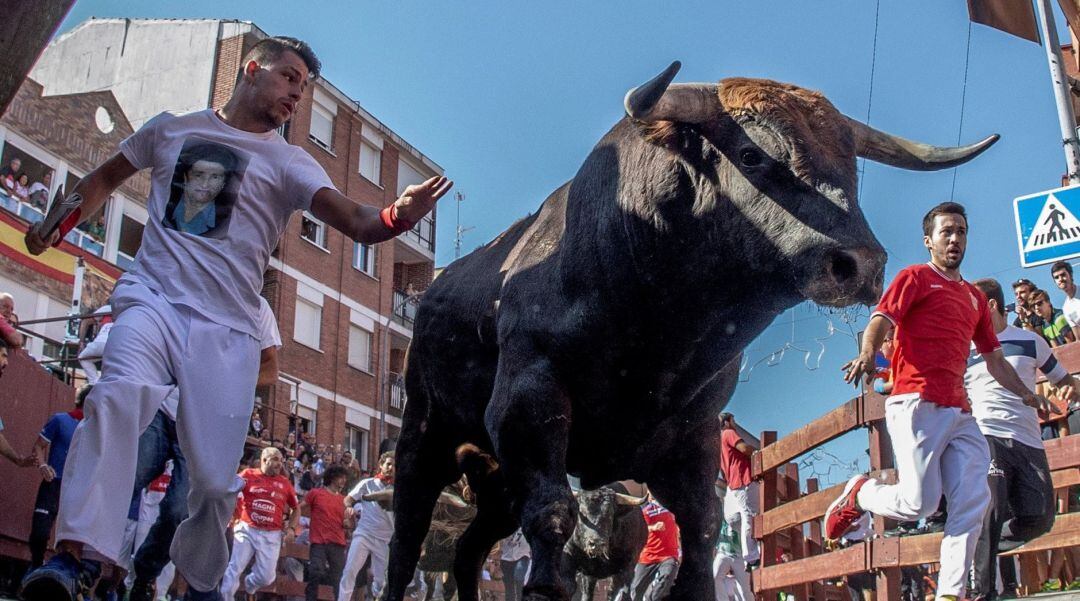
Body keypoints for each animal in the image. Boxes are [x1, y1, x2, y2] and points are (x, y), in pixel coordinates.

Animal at [378, 62, 993, 601]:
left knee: (467, 553)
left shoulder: (693, 434)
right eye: (750, 154)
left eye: (851, 167)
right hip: (424, 438)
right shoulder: (528, 403)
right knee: (406, 542)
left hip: (495, 479)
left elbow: (698, 530)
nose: (861, 263)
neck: (658, 332)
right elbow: (553, 513)